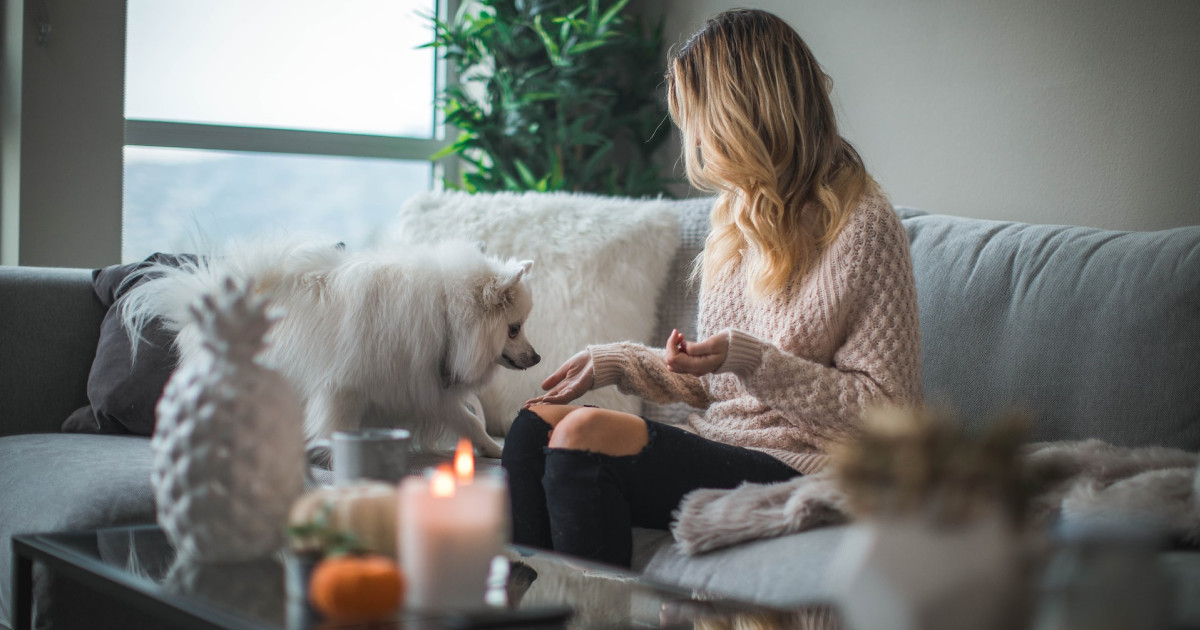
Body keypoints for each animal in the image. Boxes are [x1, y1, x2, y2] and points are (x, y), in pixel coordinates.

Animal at [119, 237, 537, 456]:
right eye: (514, 329)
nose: (537, 357)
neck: (445, 314)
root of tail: (203, 297)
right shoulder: (344, 388)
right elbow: (337, 426)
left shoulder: (423, 386)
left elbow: (468, 421)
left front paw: (493, 449)